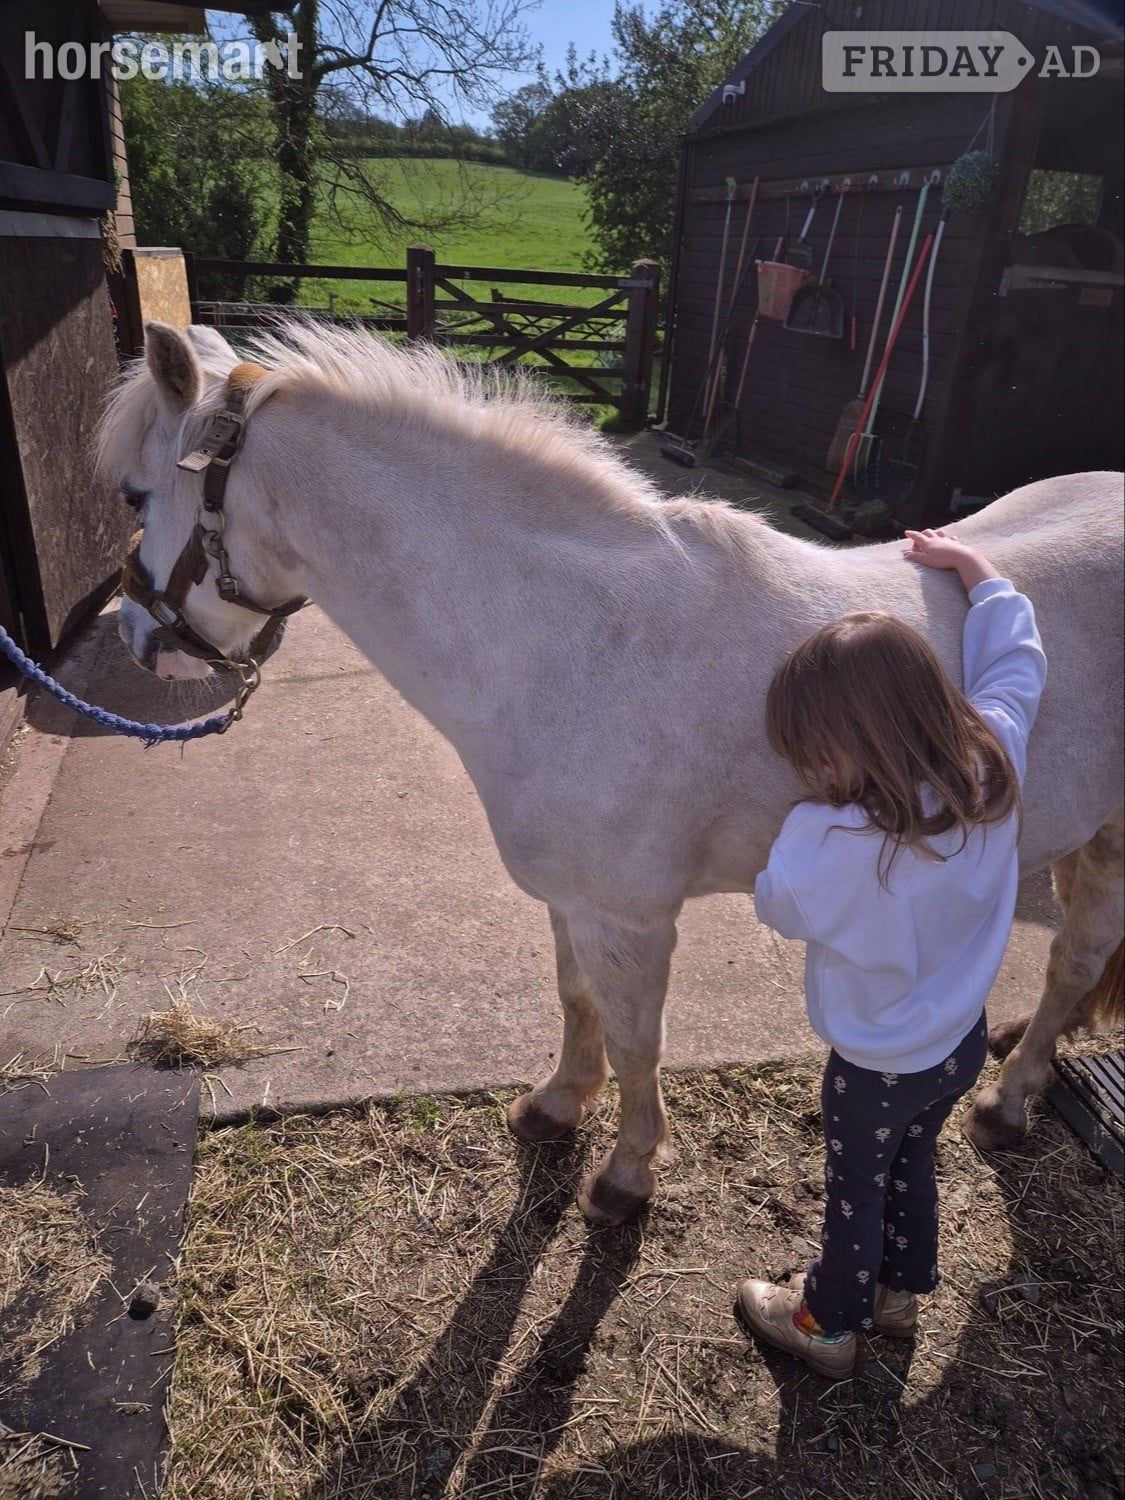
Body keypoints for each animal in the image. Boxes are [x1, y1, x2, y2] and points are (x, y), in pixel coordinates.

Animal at [97, 319, 1124, 1225]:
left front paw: (626, 1177)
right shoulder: (572, 901)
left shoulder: (631, 919)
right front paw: (556, 1106)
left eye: (140, 497)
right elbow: (575, 1000)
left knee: (1075, 956)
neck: (576, 634)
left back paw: (1008, 1100)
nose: (139, 638)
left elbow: (637, 1043)